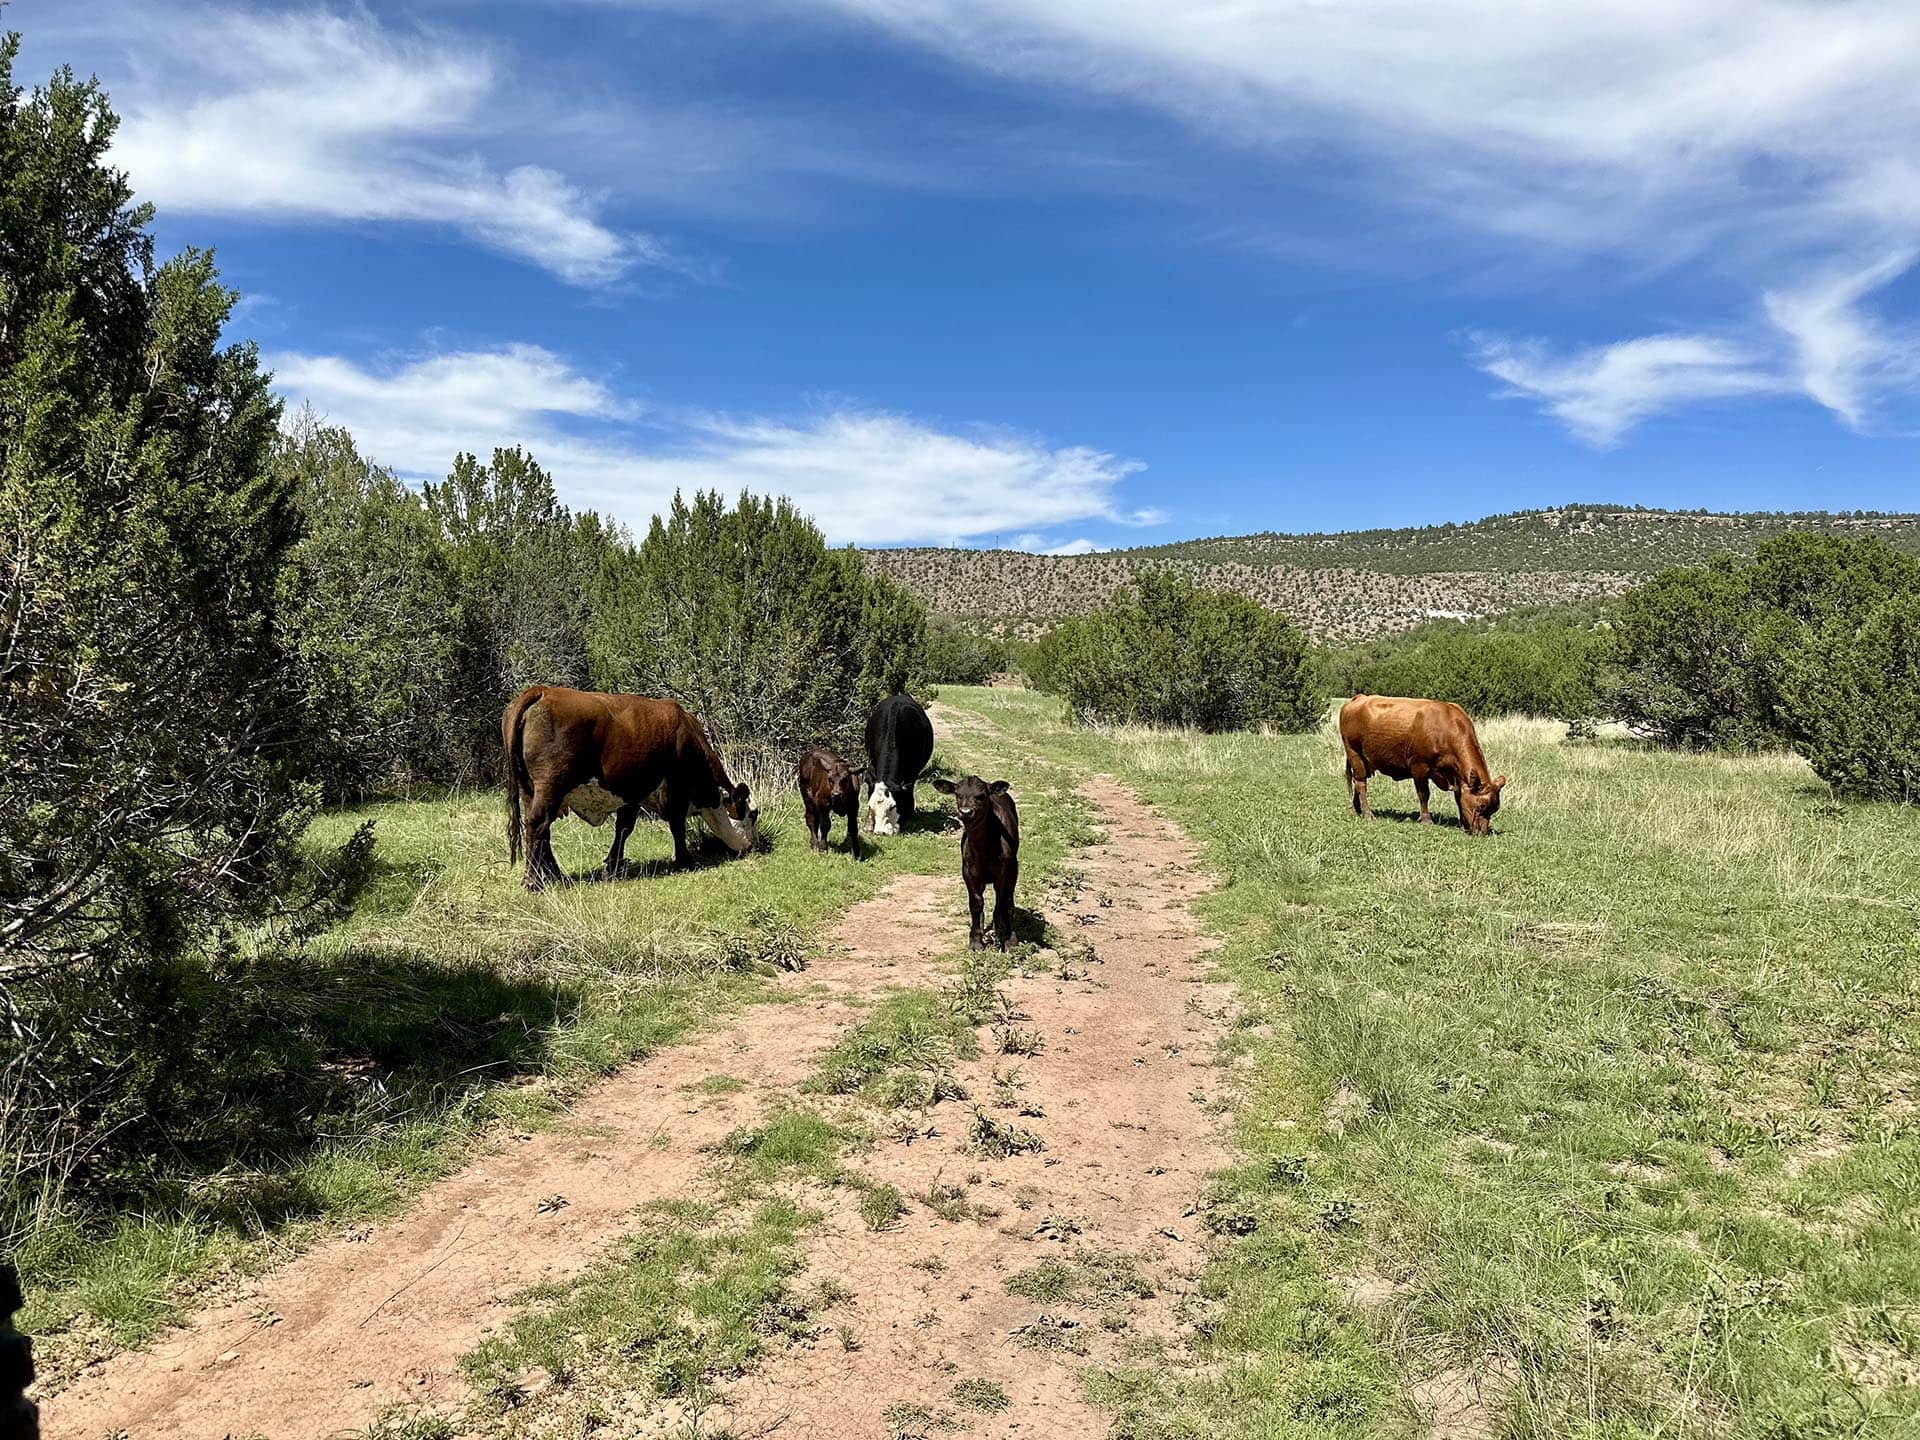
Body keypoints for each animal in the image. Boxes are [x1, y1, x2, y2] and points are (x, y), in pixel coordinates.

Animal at [502, 686, 758, 889]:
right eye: (752, 815)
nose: (753, 846)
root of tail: (542, 691)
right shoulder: (676, 788)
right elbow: (677, 825)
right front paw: (684, 860)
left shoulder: (633, 792)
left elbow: (624, 828)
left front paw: (613, 865)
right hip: (551, 786)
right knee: (538, 824)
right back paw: (534, 881)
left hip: (530, 790)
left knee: (542, 832)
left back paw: (554, 874)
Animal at [864, 694, 935, 835]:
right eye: (870, 805)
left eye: (893, 806)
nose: (880, 831)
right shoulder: (872, 765)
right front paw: (868, 824)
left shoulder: (913, 773)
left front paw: (904, 818)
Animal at [931, 774, 1019, 949]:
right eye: (958, 794)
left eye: (981, 795)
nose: (965, 812)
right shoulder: (968, 870)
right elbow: (976, 902)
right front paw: (975, 940)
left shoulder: (1007, 869)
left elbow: (1003, 903)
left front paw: (1008, 939)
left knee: (1006, 900)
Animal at [1339, 694, 1507, 836]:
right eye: (1481, 806)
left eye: (1494, 809)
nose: (1482, 833)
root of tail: (1358, 698)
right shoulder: (1419, 767)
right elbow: (1424, 794)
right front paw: (1426, 819)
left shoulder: (1456, 776)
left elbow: (1459, 798)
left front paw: (1462, 822)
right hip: (1354, 753)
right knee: (1361, 783)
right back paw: (1368, 813)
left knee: (1357, 782)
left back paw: (1358, 809)